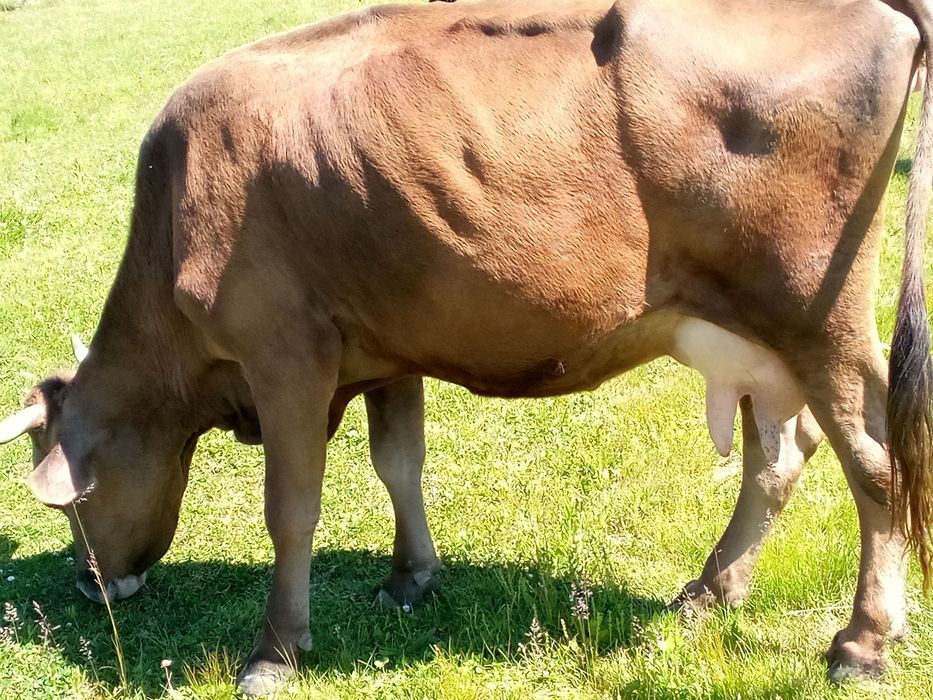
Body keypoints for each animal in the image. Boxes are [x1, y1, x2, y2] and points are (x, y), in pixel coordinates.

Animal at [2, 0, 932, 694]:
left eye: (72, 506)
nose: (90, 585)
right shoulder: (383, 348)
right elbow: (397, 464)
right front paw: (409, 578)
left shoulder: (286, 355)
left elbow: (292, 509)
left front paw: (274, 653)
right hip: (751, 335)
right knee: (780, 454)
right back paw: (709, 590)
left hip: (815, 311)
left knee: (876, 458)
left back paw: (861, 642)